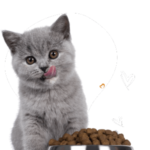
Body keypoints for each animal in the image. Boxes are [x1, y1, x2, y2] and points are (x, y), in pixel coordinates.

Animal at [0, 13, 89, 149]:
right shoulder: (31, 121)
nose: (44, 67)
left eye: (53, 54)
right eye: (30, 60)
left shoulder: (76, 118)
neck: (50, 96)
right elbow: (34, 143)